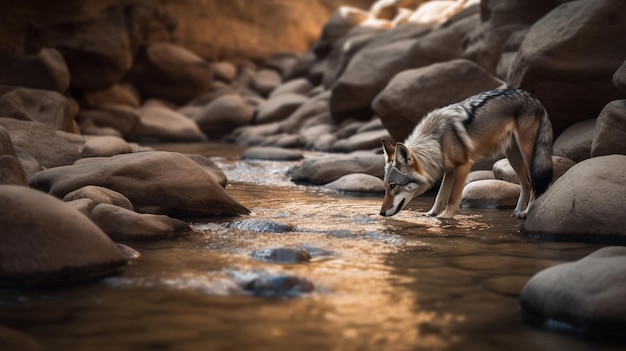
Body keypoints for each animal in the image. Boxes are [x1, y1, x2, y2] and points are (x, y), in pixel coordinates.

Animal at [380, 88, 552, 220]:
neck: (437, 139)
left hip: (528, 155)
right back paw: (517, 211)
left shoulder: (463, 165)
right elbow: (440, 197)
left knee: (536, 184)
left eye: (393, 186)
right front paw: (431, 215)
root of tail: (534, 98)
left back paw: (526, 212)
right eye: (386, 187)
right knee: (526, 183)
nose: (381, 213)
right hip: (513, 156)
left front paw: (446, 218)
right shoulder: (449, 170)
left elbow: (452, 198)